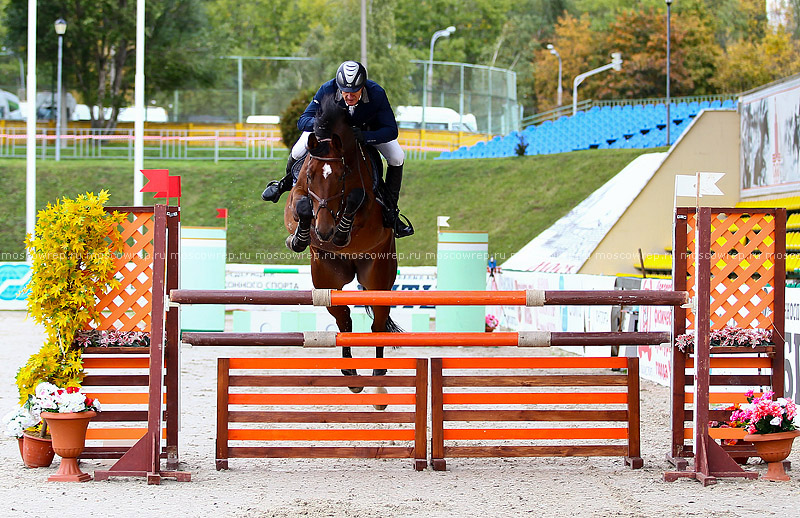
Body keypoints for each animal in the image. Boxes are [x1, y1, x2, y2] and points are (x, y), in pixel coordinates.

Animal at [284, 94, 404, 402]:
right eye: (311, 176)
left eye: (341, 176)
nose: (324, 231)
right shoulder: (296, 199)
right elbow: (302, 206)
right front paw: (300, 238)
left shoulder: (366, 207)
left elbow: (355, 198)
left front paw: (340, 233)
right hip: (327, 279)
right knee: (344, 320)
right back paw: (351, 374)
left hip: (378, 277)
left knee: (377, 326)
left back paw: (377, 376)